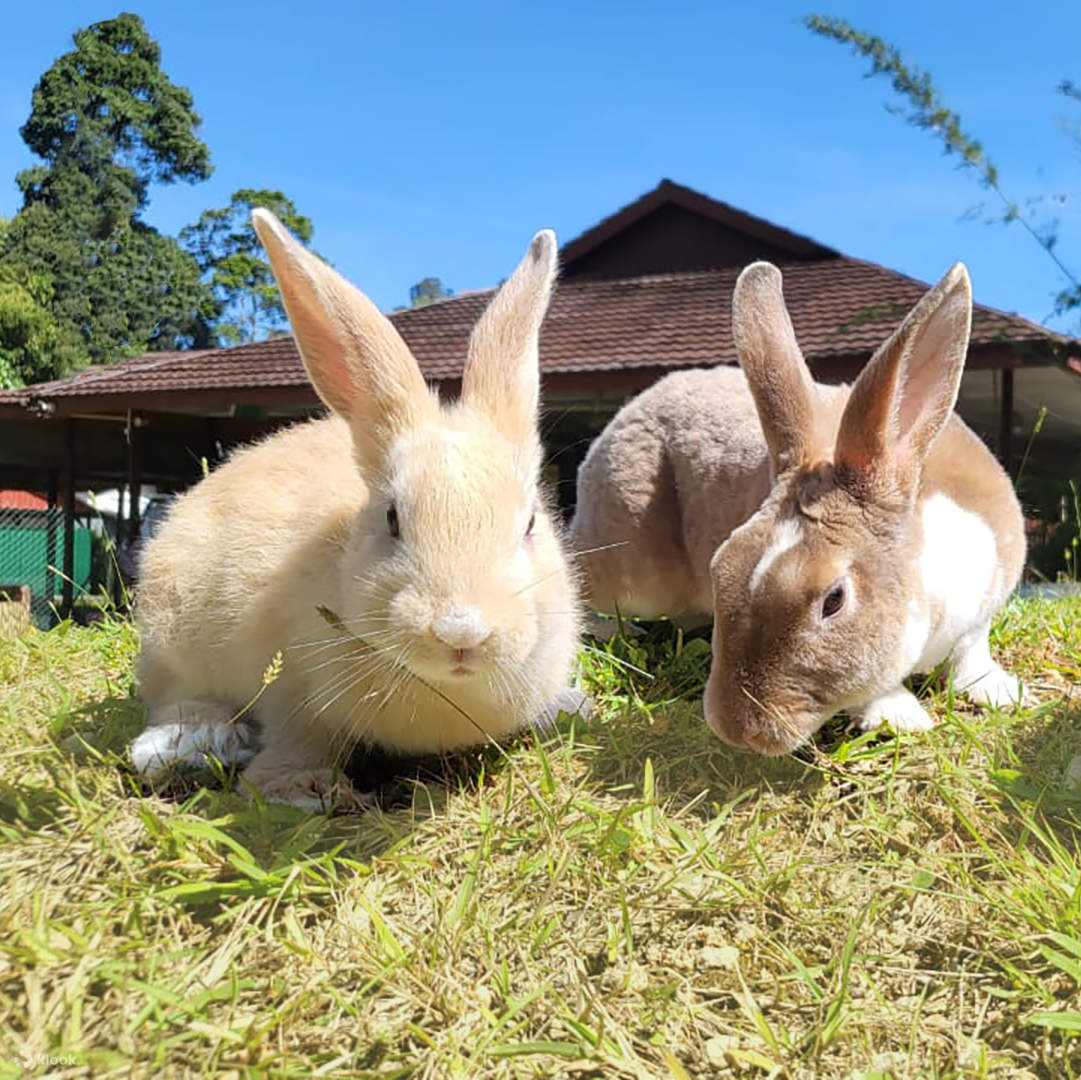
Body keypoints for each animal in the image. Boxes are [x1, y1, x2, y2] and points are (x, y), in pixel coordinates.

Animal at [129, 211, 583, 809]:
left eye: (530, 524)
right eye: (392, 519)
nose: (461, 632)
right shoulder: (293, 684)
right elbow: (298, 735)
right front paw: (299, 788)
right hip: (169, 635)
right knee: (175, 697)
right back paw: (189, 743)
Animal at [571, 260, 1025, 754]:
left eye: (834, 599)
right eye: (720, 567)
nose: (737, 729)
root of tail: (632, 407)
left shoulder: (982, 609)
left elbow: (972, 652)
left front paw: (1000, 691)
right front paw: (898, 716)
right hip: (632, 563)